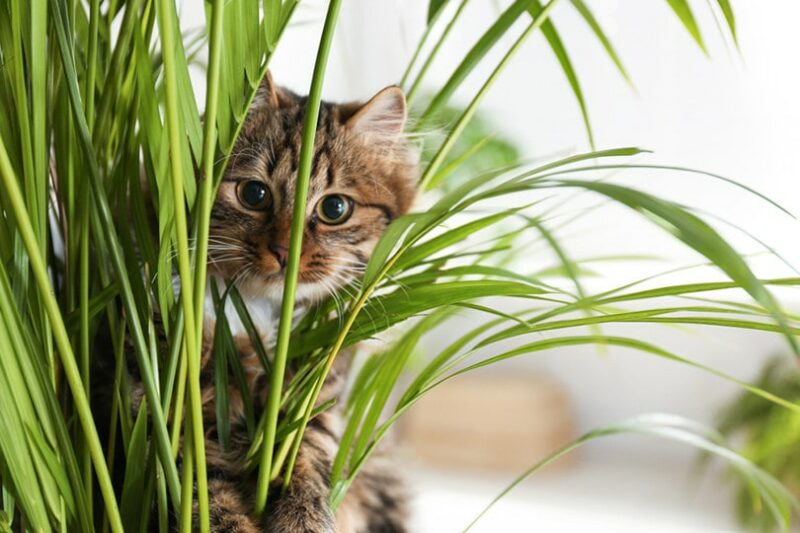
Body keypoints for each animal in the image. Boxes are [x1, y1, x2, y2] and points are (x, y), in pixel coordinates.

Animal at [100, 71, 418, 532]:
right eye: (254, 194)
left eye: (335, 208)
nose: (285, 252)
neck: (257, 313)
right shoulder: (167, 414)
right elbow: (210, 500)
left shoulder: (314, 404)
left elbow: (304, 459)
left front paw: (304, 519)